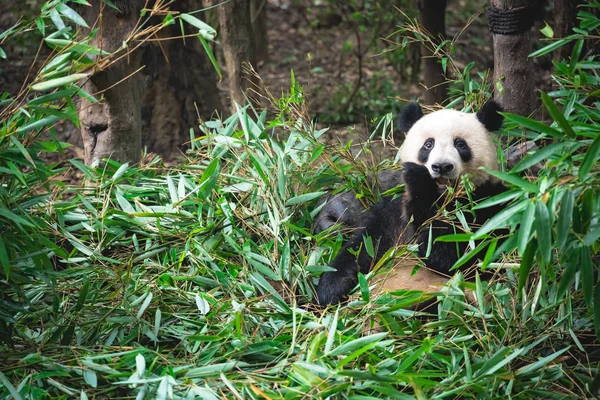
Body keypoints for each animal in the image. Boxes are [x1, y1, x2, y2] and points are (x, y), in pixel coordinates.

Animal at [316, 101, 508, 304]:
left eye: (460, 144)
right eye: (428, 144)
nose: (441, 167)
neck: (441, 197)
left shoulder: (487, 203)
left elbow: (457, 256)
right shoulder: (394, 206)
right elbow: (368, 244)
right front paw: (330, 288)